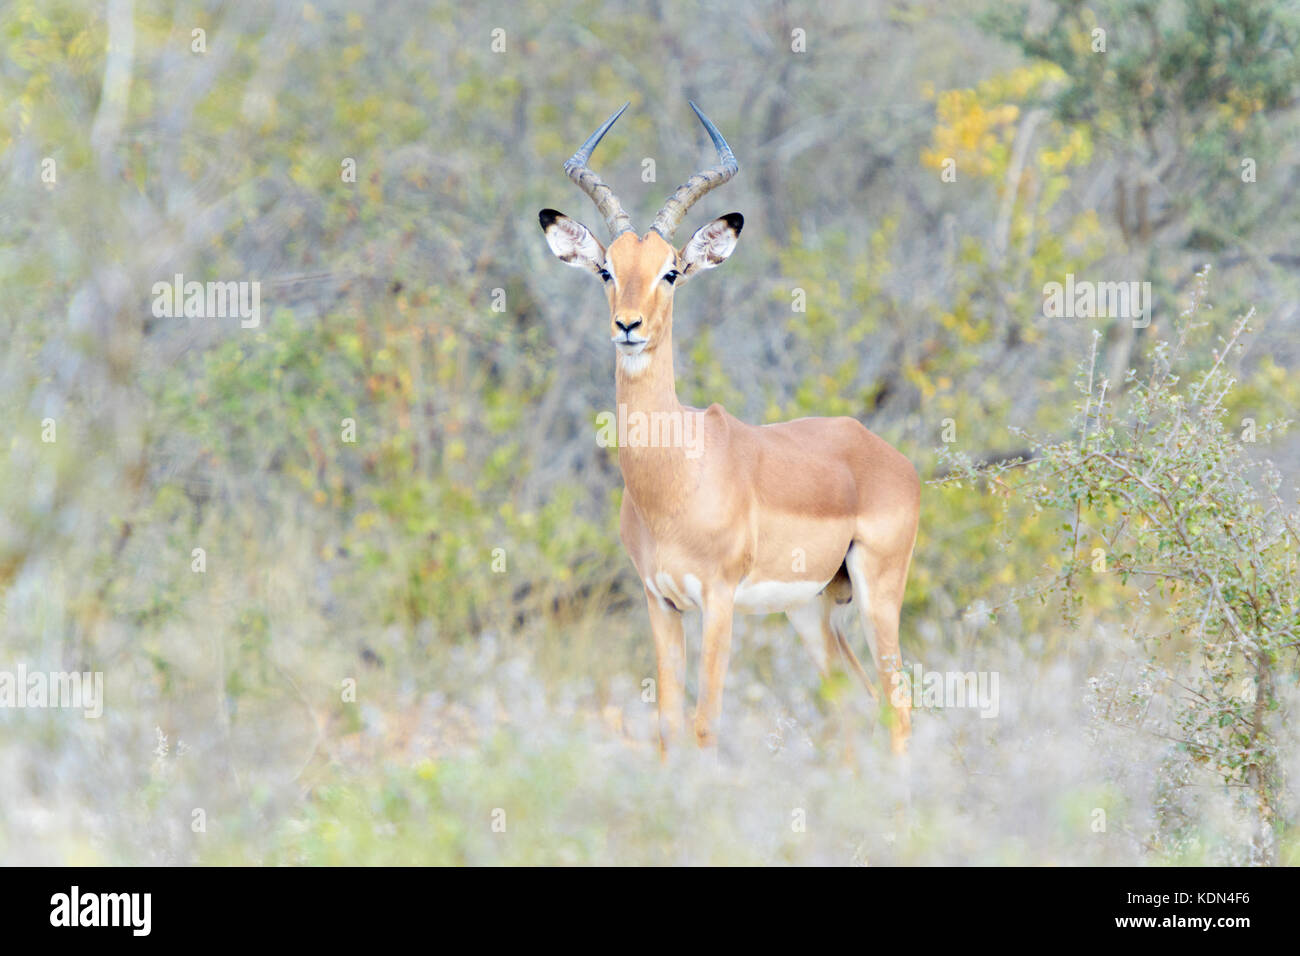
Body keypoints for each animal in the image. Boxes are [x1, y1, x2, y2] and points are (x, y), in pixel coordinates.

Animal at [538, 102, 920, 755]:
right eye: (607, 269)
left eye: (671, 272)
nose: (628, 326)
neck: (673, 476)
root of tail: (885, 454)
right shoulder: (659, 601)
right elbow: (668, 727)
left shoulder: (718, 601)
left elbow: (704, 724)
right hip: (811, 610)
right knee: (856, 704)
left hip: (878, 593)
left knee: (898, 707)